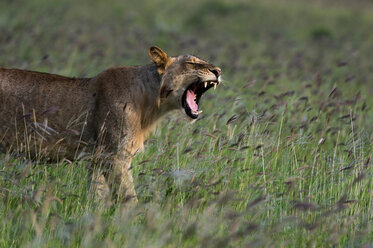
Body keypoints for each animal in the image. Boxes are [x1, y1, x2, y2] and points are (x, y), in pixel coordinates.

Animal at [0, 46, 221, 203]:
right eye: (191, 63)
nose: (218, 71)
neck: (150, 102)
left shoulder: (97, 158)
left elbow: (98, 195)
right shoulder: (114, 156)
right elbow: (129, 198)